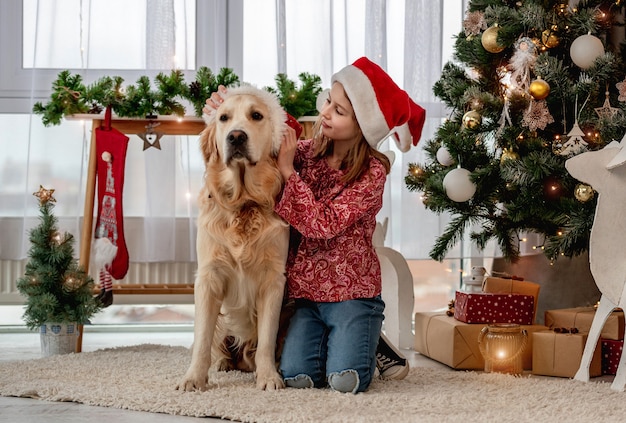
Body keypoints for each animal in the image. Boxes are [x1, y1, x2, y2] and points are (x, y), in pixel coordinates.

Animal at [176, 84, 288, 392]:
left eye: (257, 115)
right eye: (223, 118)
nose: (236, 136)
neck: (243, 203)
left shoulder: (273, 279)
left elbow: (266, 339)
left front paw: (268, 377)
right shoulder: (208, 276)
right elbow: (202, 339)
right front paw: (193, 378)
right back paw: (223, 363)